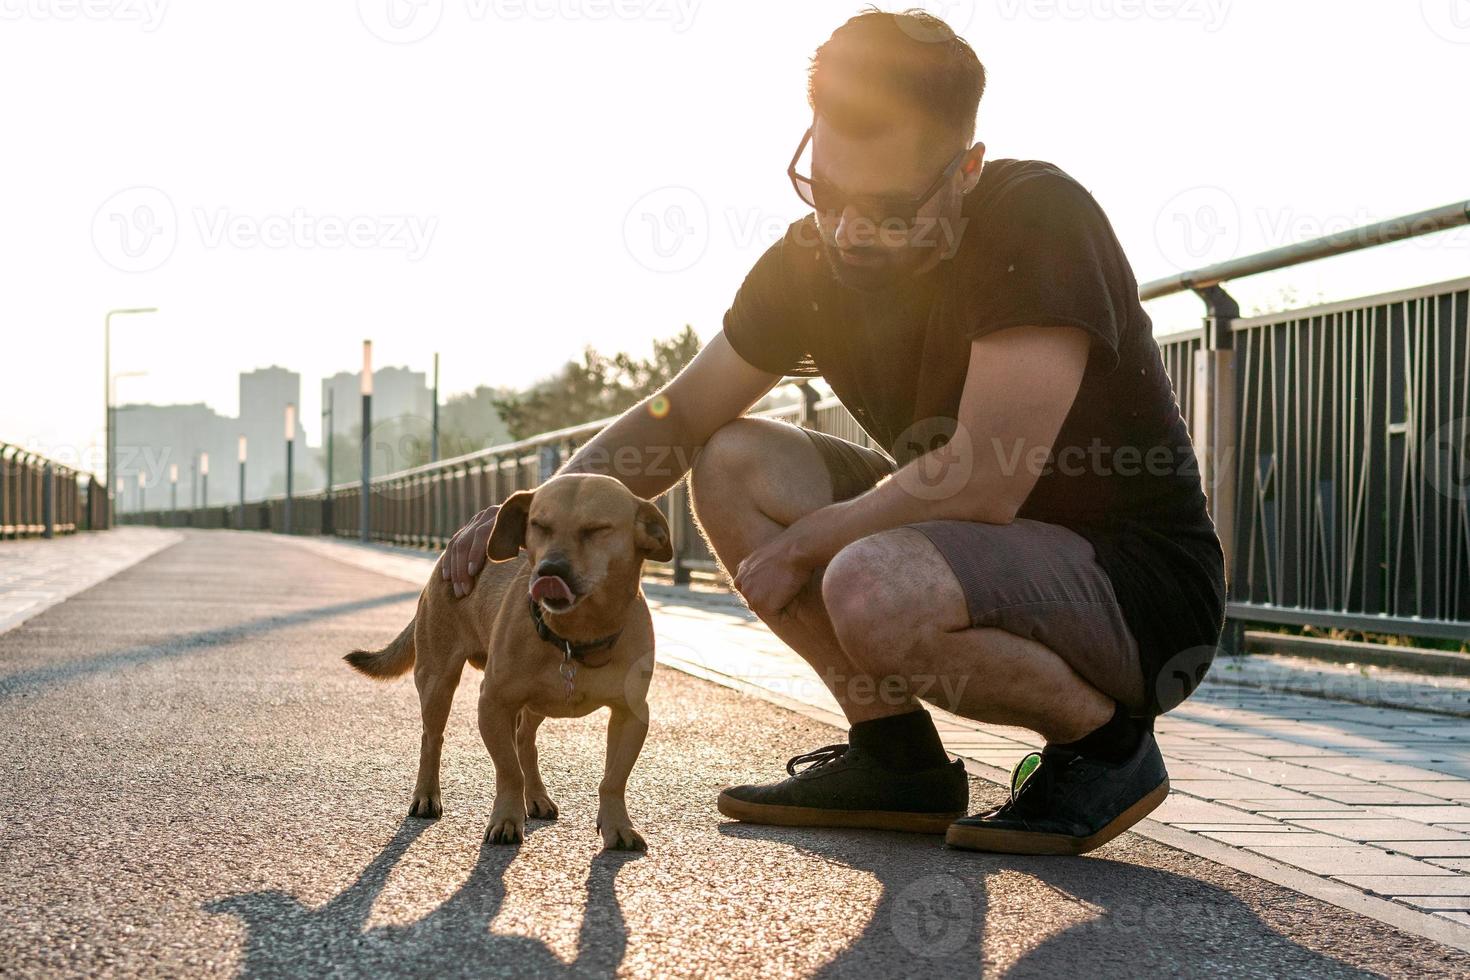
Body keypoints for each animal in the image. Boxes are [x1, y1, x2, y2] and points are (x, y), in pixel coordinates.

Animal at [343, 476, 673, 852]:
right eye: (539, 526)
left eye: (597, 529)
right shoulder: (493, 704)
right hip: (438, 681)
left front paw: (618, 825)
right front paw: (505, 821)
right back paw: (426, 796)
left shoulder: (631, 714)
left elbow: (613, 778)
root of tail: (444, 560)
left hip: (533, 705)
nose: (549, 570)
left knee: (525, 742)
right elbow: (509, 770)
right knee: (433, 738)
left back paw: (537, 797)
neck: (575, 636)